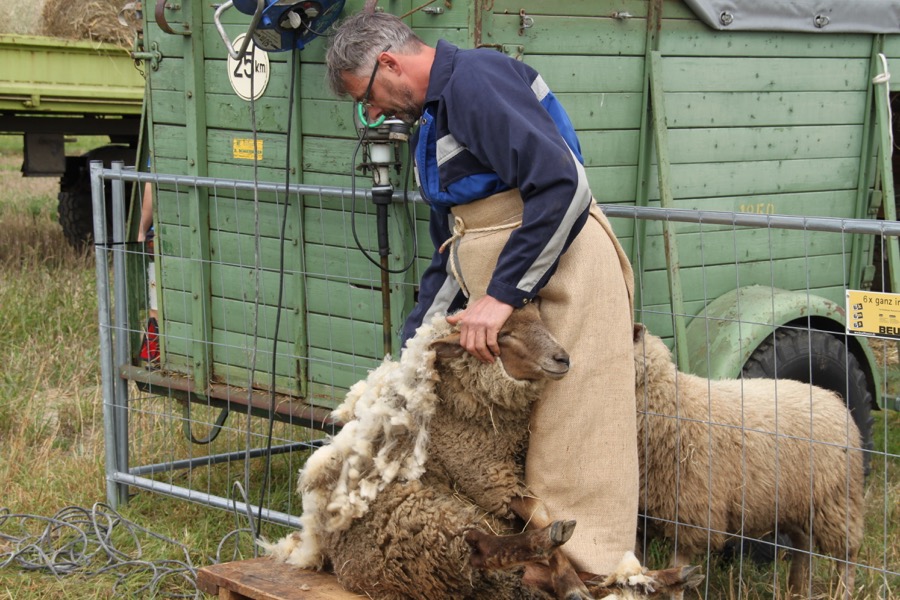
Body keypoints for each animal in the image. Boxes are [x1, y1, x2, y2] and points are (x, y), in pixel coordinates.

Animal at [263, 305, 702, 600]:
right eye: (503, 335)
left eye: (542, 321)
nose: (562, 358)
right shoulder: (485, 480)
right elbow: (540, 513)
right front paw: (565, 568)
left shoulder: (502, 477)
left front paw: (574, 576)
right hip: (426, 522)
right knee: (478, 546)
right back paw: (552, 548)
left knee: (536, 571)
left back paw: (659, 578)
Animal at [632, 323, 864, 598]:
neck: (670, 402)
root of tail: (834, 398)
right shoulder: (642, 519)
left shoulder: (691, 515)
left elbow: (677, 577)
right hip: (795, 502)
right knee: (803, 545)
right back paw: (796, 588)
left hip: (836, 500)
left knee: (847, 554)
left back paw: (841, 592)